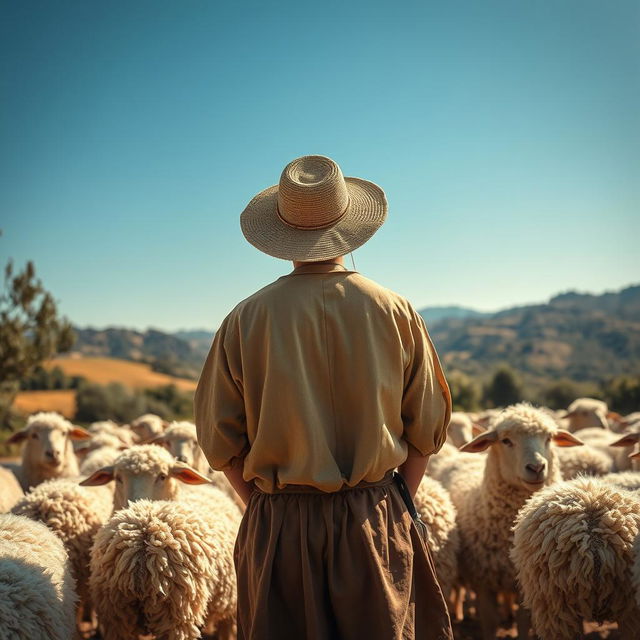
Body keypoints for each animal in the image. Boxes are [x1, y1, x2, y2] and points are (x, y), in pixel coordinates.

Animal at [450, 402, 584, 636]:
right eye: (506, 441)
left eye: (548, 438)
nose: (537, 468)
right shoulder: (484, 582)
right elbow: (489, 623)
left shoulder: (525, 584)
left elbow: (523, 623)